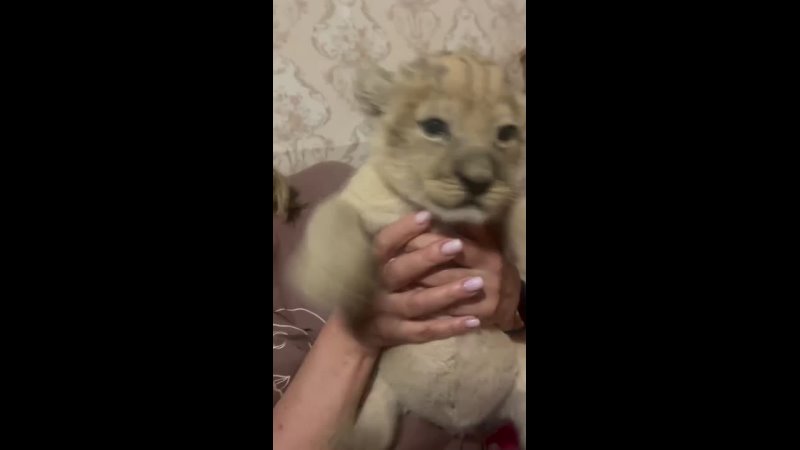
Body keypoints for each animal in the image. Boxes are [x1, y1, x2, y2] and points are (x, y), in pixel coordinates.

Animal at [288, 50, 527, 449]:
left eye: (507, 133)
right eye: (434, 127)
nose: (478, 182)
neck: (443, 220)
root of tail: (464, 423)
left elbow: (520, 203)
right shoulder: (357, 200)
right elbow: (333, 220)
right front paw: (340, 286)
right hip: (378, 407)